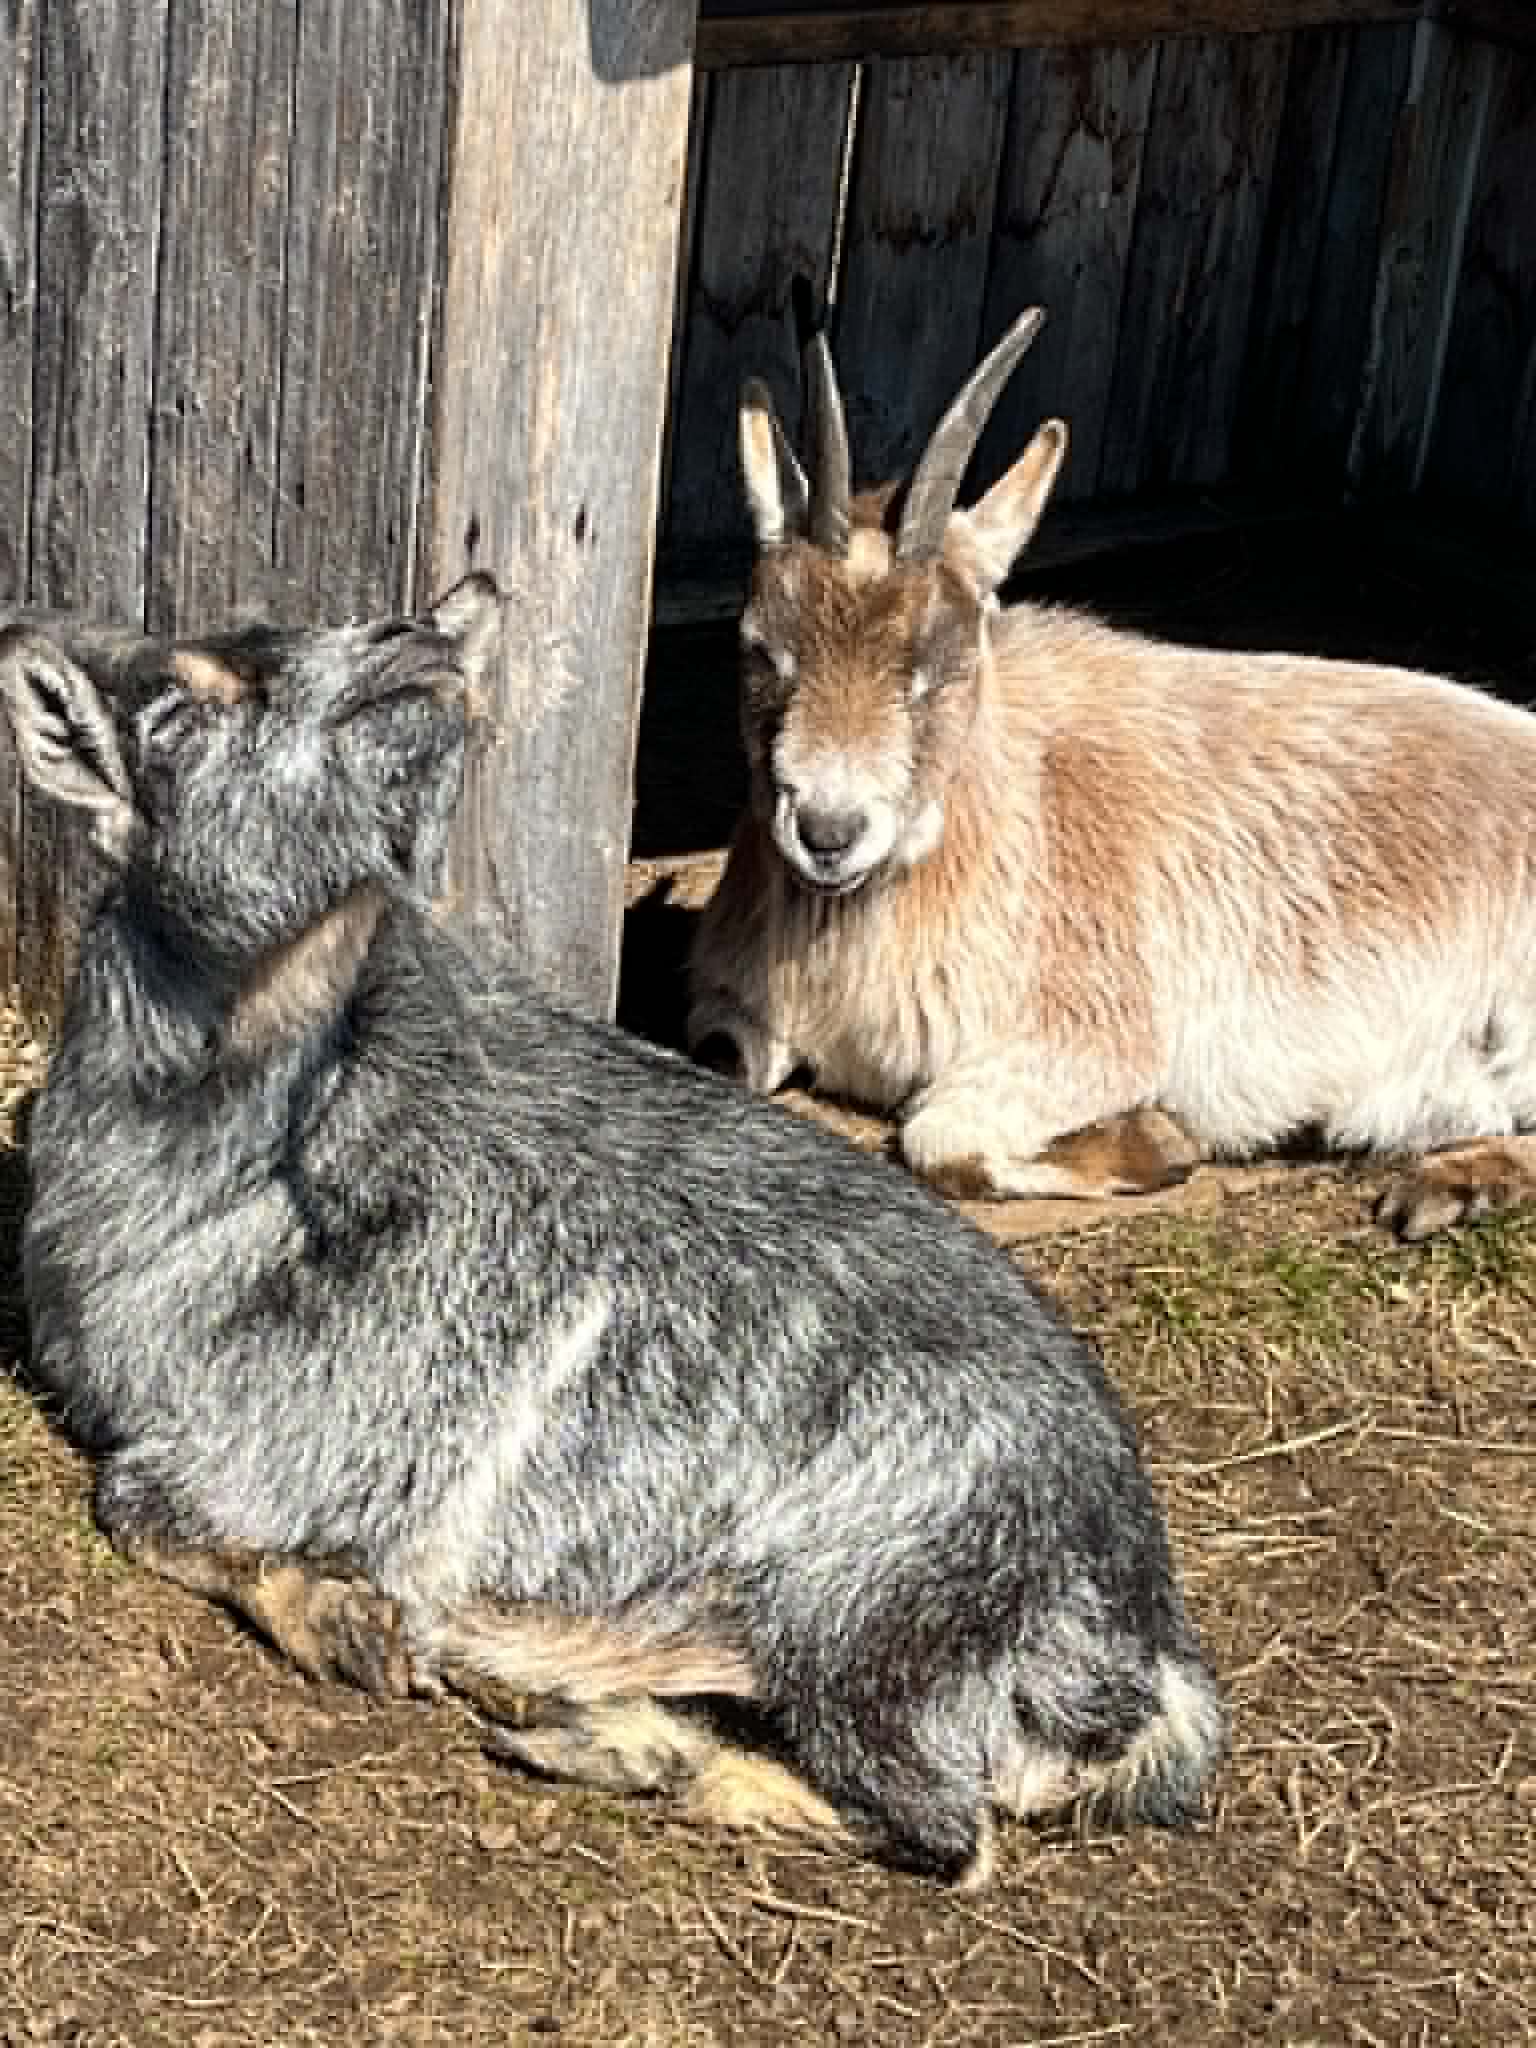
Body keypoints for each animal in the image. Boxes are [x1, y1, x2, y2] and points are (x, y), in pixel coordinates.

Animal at [1, 582, 1223, 1884]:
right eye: (177, 706)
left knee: (943, 1828)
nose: (416, 636)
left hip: (871, 1614)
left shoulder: (284, 1440)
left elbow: (138, 1502)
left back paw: (599, 1734)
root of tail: (1143, 1641)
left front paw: (351, 1624)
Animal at [687, 306, 1536, 1239]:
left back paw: (1452, 1183)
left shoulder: (1093, 1033)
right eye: (762, 650)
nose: (828, 833)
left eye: (943, 668)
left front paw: (1160, 1140)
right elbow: (724, 1057)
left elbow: (941, 1138)